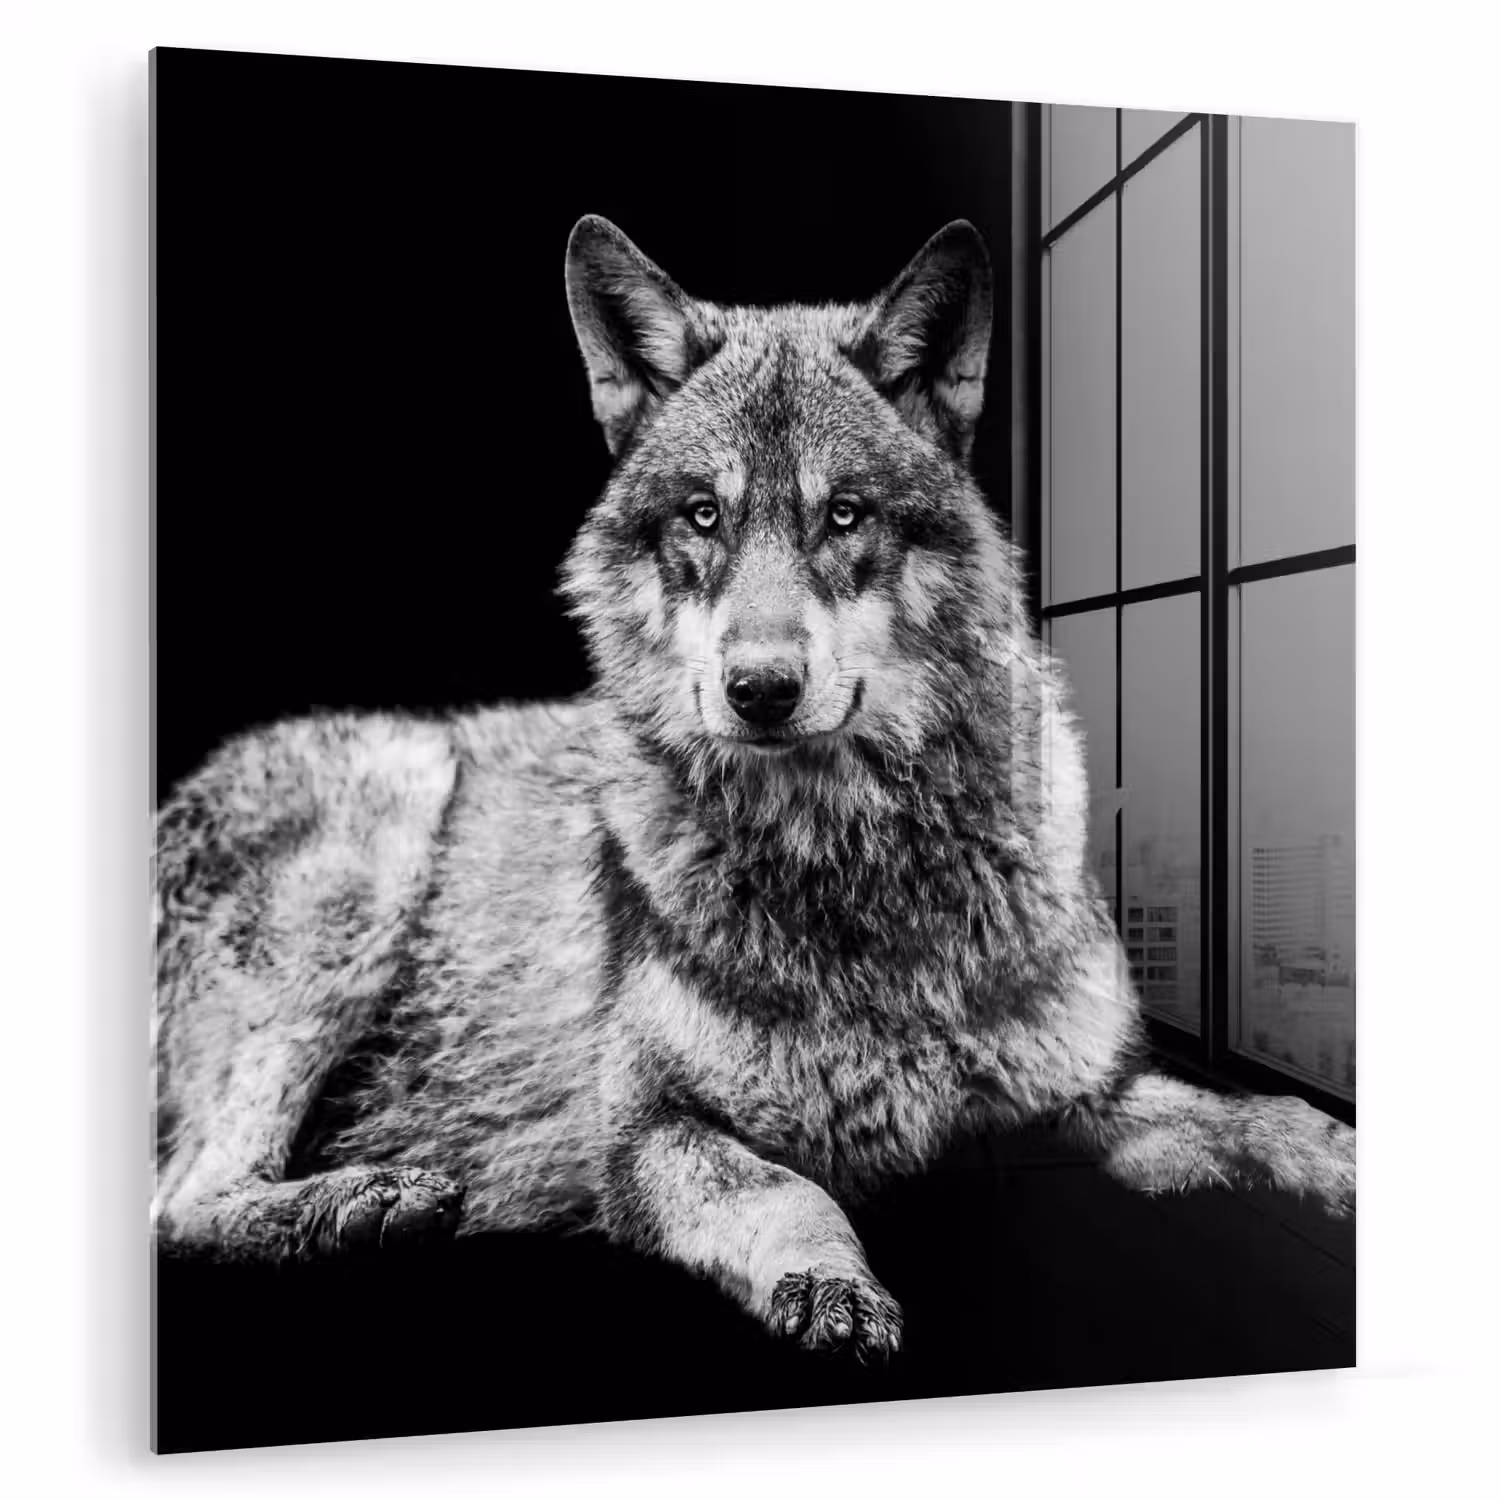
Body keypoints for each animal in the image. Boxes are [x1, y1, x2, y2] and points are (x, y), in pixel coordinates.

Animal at [153, 215, 1354, 1361]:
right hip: (381, 832)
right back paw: (366, 1202)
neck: (855, 868)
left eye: (845, 514)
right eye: (703, 516)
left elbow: (1258, 1116)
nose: (762, 689)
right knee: (180, 1202)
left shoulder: (1085, 1099)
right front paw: (829, 1285)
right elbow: (792, 1189)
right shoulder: (648, 1132)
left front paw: (1339, 1154)